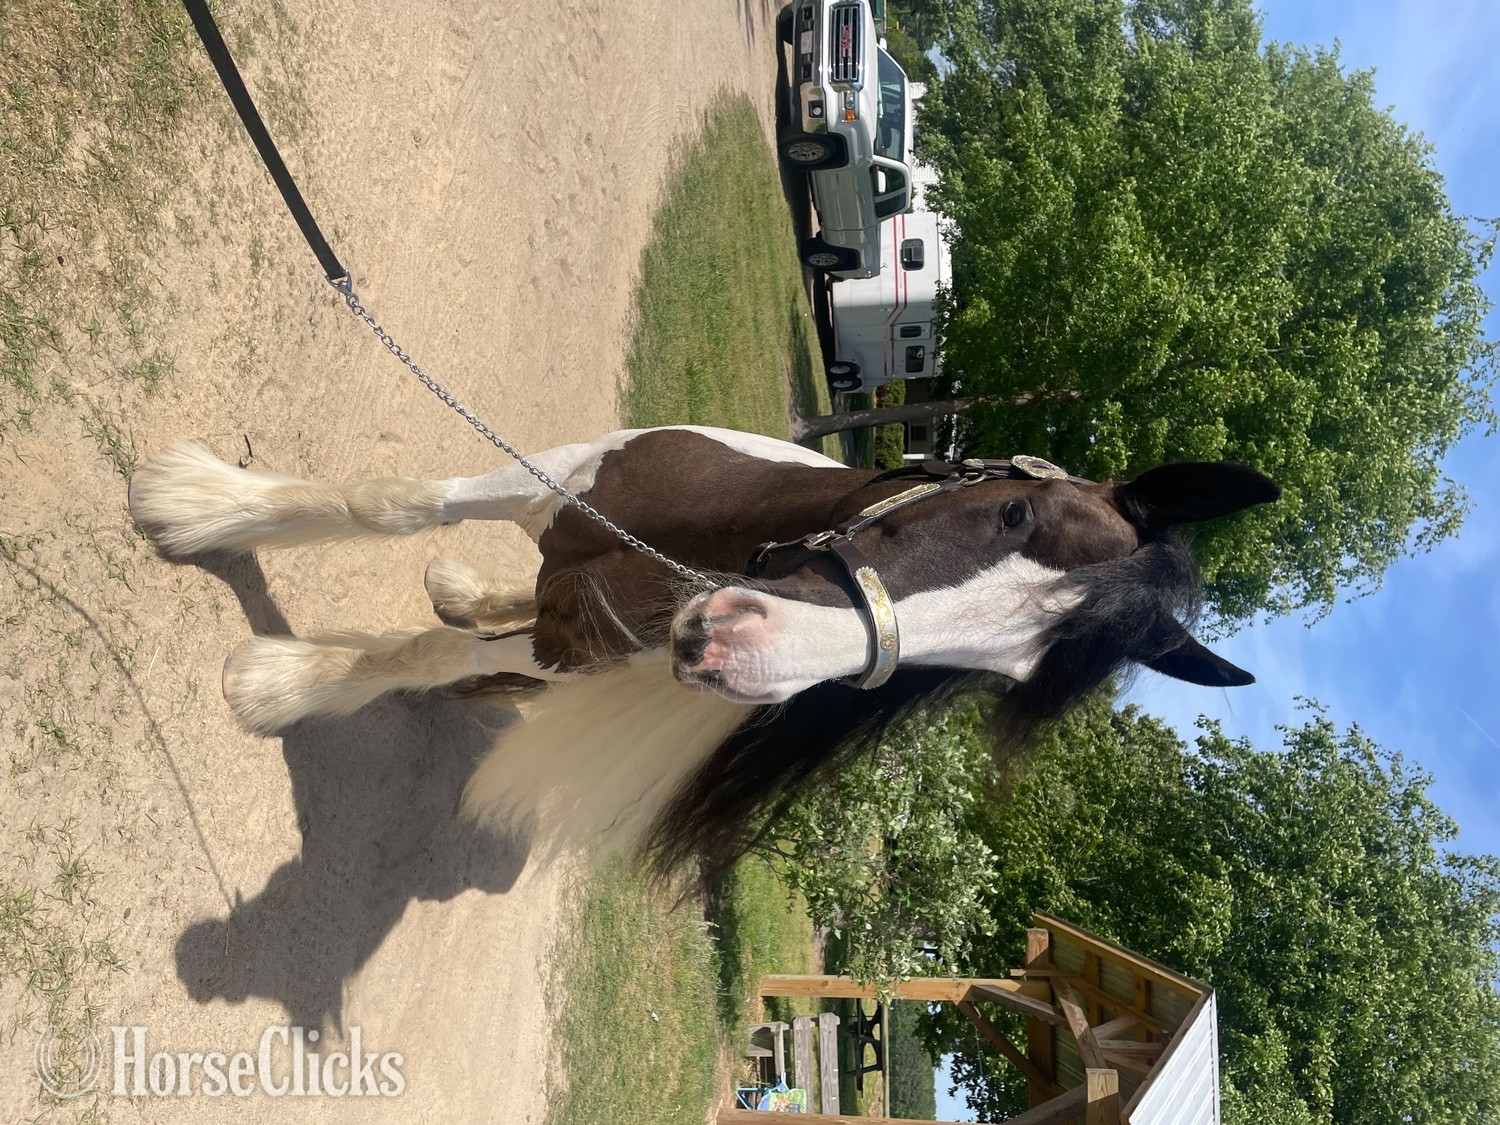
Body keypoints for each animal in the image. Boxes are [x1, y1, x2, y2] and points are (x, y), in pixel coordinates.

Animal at [126, 424, 1278, 872]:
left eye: (988, 673)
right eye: (1013, 515)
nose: (733, 646)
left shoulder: (587, 646)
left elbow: (428, 657)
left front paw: (283, 685)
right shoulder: (565, 475)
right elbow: (391, 503)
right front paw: (198, 508)